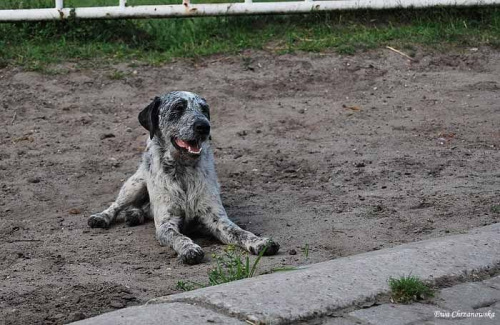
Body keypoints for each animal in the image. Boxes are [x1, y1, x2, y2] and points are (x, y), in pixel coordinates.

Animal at [88, 90, 280, 264]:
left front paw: (260, 242)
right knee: (117, 205)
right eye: (178, 108)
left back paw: (135, 214)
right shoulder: (166, 223)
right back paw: (102, 217)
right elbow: (179, 237)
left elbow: (240, 232)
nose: (204, 126)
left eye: (204, 110)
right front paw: (189, 249)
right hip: (135, 184)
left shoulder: (217, 219)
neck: (183, 171)